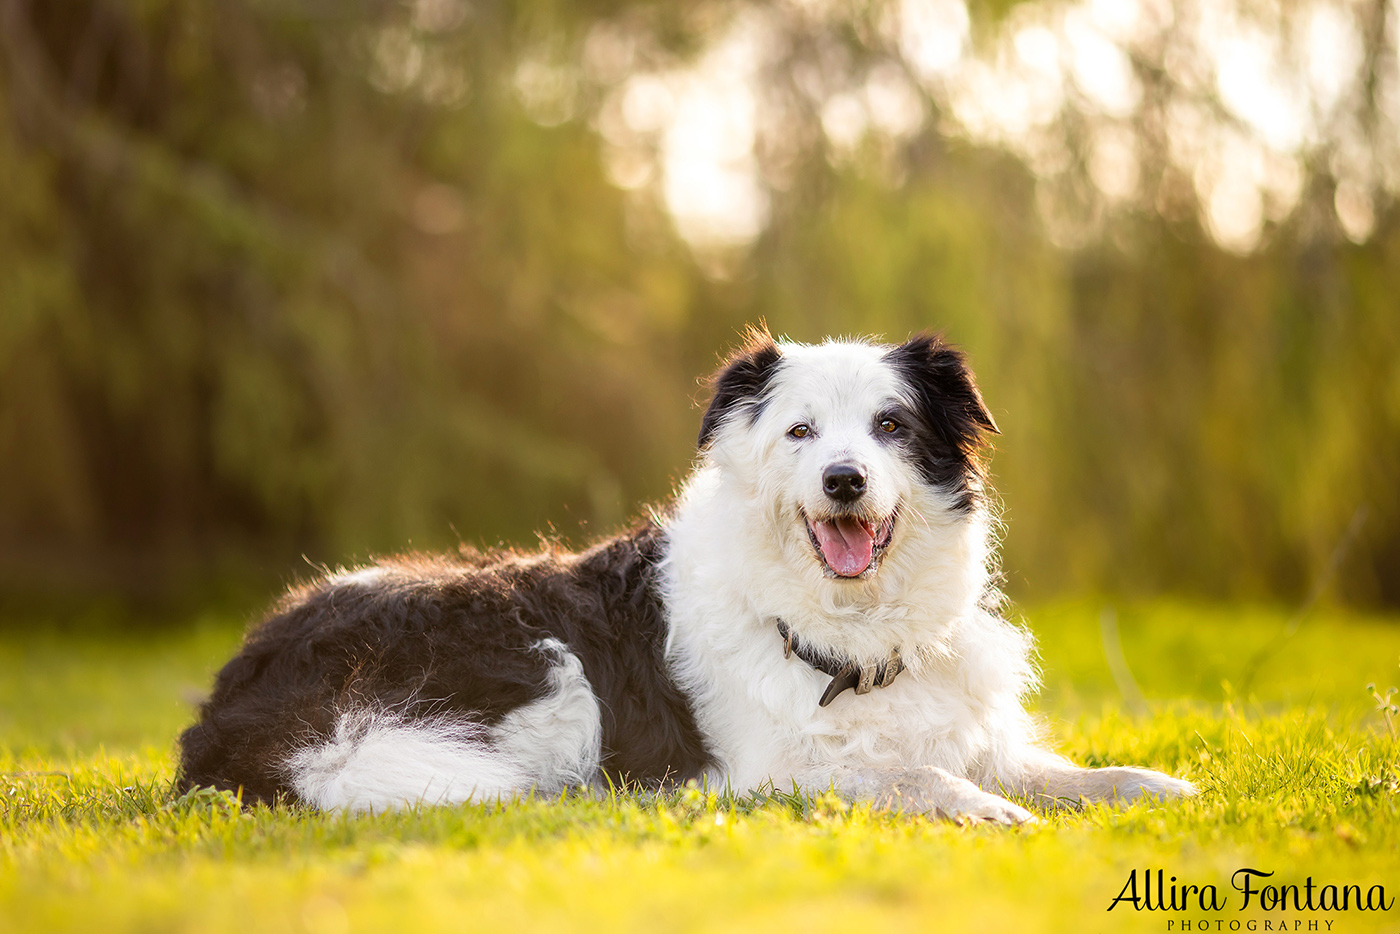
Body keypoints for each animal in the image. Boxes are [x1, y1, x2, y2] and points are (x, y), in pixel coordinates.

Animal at [177, 330, 1192, 823]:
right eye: (800, 432)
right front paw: (987, 812)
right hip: (540, 659)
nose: (844, 480)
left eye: (891, 426)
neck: (847, 628)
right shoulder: (766, 769)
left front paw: (1162, 789)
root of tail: (231, 699)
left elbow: (1074, 773)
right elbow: (908, 776)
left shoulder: (968, 732)